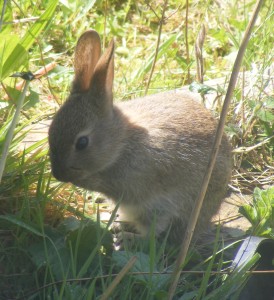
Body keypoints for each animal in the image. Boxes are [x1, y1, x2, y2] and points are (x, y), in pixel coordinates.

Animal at [48, 29, 231, 241]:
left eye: (82, 142)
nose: (58, 174)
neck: (120, 143)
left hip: (163, 210)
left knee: (151, 235)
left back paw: (125, 237)